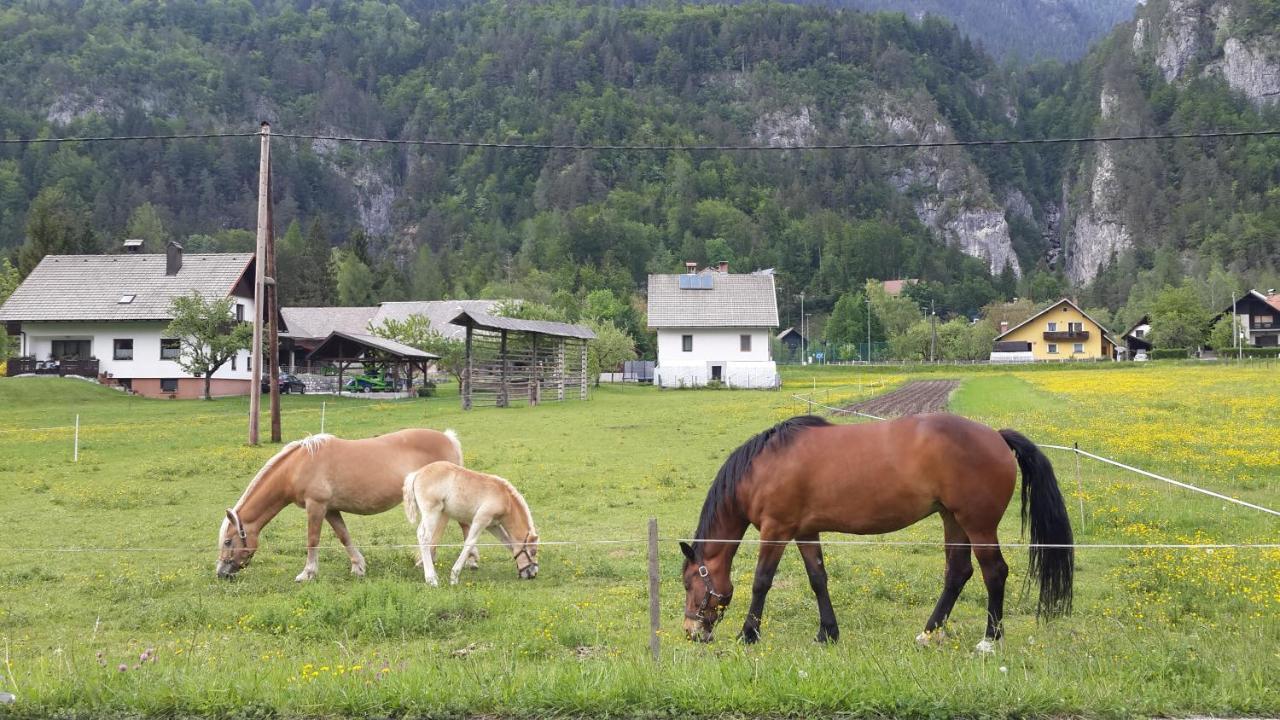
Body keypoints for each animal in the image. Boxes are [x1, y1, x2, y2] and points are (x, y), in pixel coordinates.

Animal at [215, 425, 476, 576]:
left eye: (228, 541)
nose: (221, 572)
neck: (298, 466)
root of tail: (448, 438)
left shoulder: (316, 506)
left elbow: (312, 539)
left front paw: (307, 573)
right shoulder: (330, 509)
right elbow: (343, 536)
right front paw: (358, 566)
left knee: (464, 525)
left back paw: (469, 561)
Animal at [401, 458, 537, 584]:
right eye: (533, 552)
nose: (533, 574)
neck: (505, 498)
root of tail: (417, 473)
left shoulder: (493, 525)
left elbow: (508, 543)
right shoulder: (481, 519)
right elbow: (469, 542)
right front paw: (454, 577)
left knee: (420, 533)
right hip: (432, 512)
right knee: (425, 538)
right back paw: (431, 579)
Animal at [675, 409, 1075, 650]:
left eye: (689, 582)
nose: (691, 632)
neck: (763, 466)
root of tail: (995, 435)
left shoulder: (776, 529)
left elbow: (762, 581)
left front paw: (748, 634)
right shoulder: (804, 531)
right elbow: (818, 579)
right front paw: (827, 633)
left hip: (977, 525)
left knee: (994, 572)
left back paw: (989, 640)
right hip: (953, 520)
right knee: (958, 573)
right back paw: (928, 633)